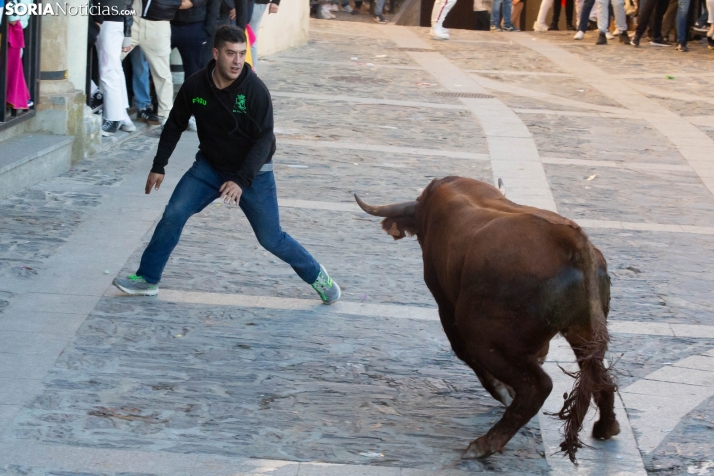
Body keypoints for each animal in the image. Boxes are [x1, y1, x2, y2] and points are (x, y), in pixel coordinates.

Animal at [354, 175, 616, 462]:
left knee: (538, 385)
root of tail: (571, 240)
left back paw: (485, 444)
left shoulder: (448, 310)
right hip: (584, 333)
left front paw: (503, 391)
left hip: (485, 338)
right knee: (599, 374)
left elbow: (466, 355)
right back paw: (607, 426)